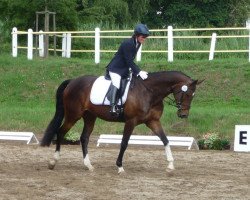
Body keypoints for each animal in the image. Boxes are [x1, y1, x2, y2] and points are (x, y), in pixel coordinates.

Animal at [40, 70, 202, 173]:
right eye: (187, 93)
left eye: (193, 95)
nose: (183, 114)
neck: (150, 92)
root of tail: (73, 81)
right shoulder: (131, 121)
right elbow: (124, 143)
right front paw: (119, 166)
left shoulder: (153, 121)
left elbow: (166, 140)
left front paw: (170, 166)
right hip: (73, 115)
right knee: (60, 132)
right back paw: (53, 162)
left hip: (90, 117)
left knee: (84, 138)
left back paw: (88, 165)